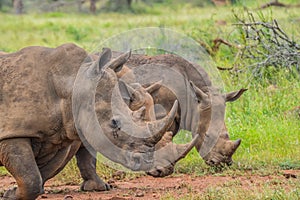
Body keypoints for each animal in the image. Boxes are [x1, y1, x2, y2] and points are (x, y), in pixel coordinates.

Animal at [0, 44, 198, 200]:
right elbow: (31, 177)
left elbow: (50, 169)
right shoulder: (13, 132)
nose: (164, 170)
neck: (72, 86)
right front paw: (11, 195)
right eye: (115, 124)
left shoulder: (63, 134)